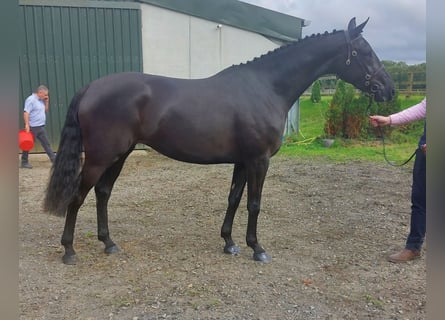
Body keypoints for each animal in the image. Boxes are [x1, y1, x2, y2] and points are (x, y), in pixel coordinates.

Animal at [44, 18, 392, 264]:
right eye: (364, 52)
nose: (387, 89)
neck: (266, 87)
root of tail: (91, 87)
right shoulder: (259, 160)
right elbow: (254, 203)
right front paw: (257, 248)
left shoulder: (242, 161)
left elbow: (234, 199)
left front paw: (230, 243)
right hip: (101, 156)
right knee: (78, 196)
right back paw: (69, 251)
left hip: (120, 154)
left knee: (103, 193)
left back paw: (109, 243)